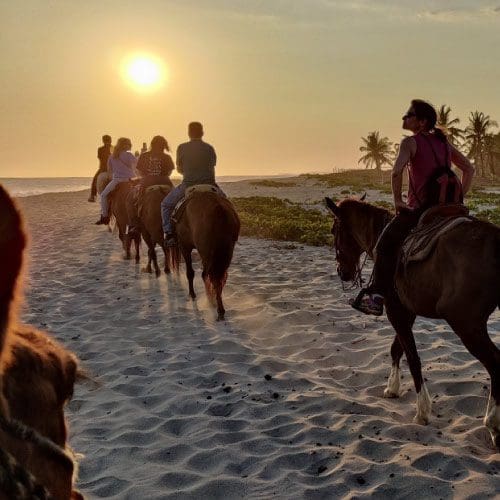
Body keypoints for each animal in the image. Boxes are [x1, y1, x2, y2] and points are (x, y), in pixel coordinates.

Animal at [170, 191, 240, 320]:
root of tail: (219, 210)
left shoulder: (185, 247)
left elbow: (190, 273)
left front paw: (192, 294)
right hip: (225, 253)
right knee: (219, 276)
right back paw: (216, 303)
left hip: (206, 252)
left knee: (209, 276)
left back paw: (215, 305)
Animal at [324, 197, 500, 448]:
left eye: (333, 230)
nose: (342, 272)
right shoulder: (407, 311)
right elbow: (397, 349)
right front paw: (392, 387)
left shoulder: (395, 310)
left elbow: (412, 357)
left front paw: (422, 411)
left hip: (466, 325)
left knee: (495, 364)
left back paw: (493, 424)